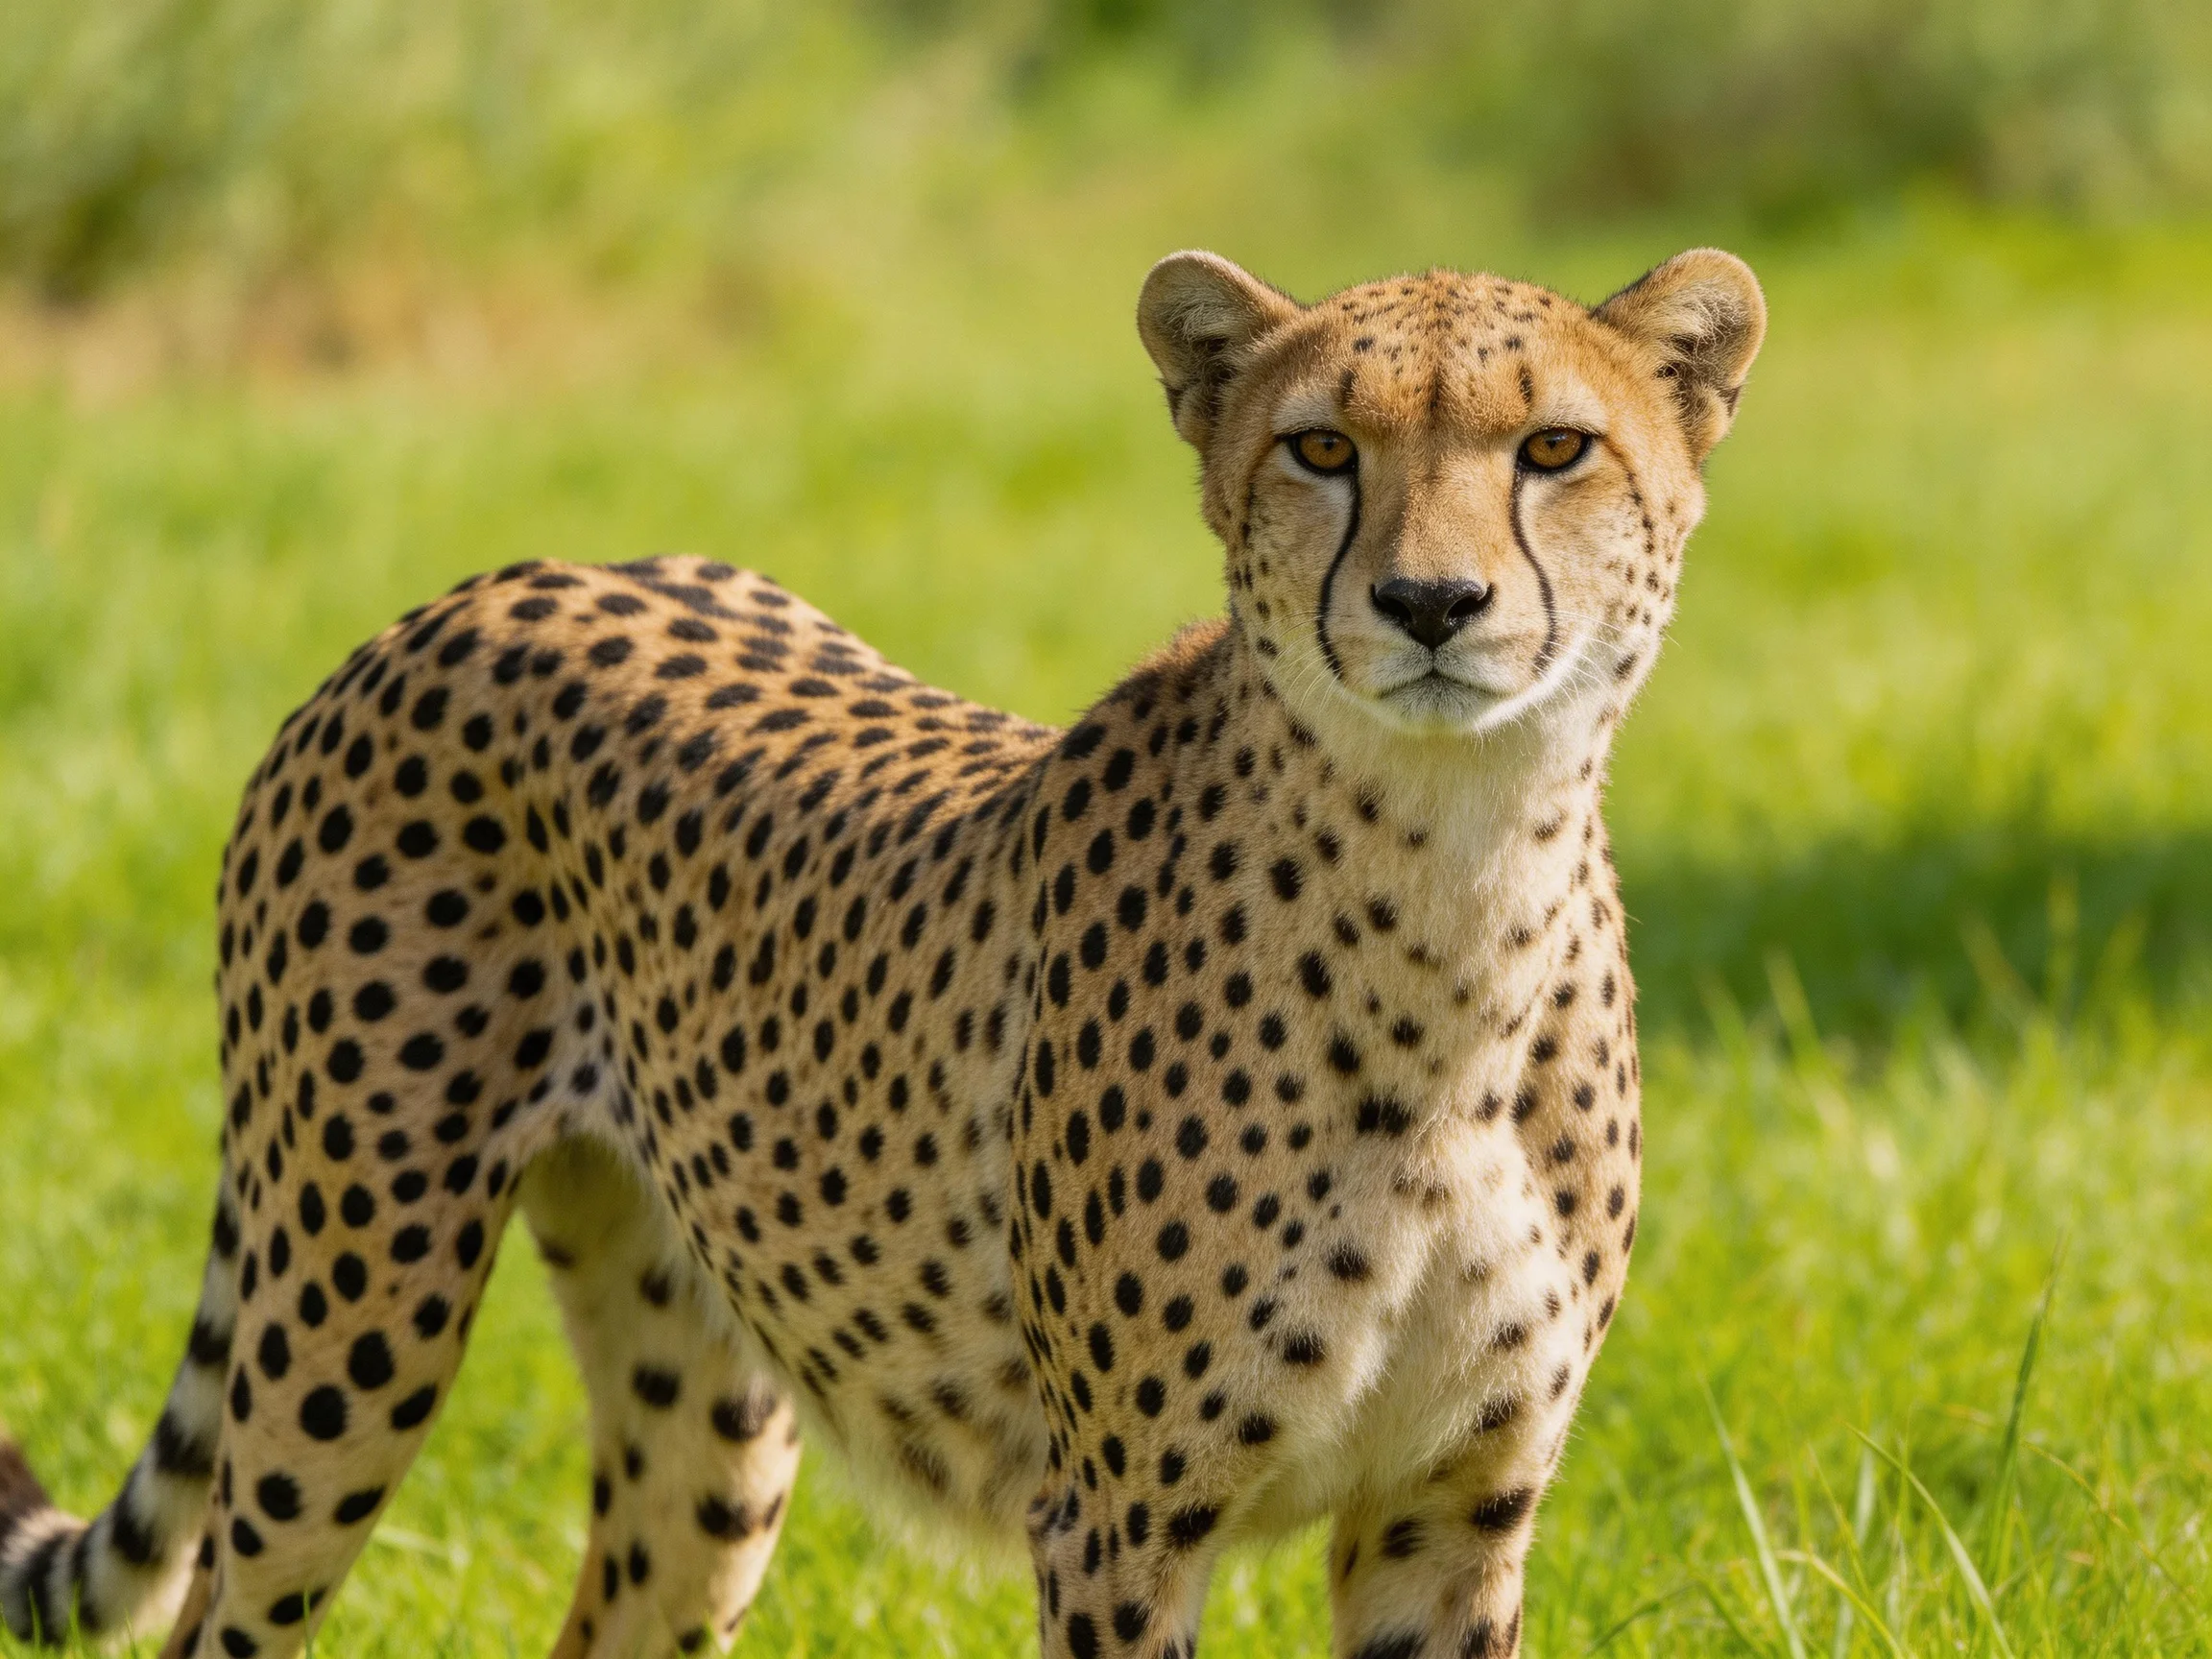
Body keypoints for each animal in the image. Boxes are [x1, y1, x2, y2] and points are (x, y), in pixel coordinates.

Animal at [0, 243, 1763, 1659]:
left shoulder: (1447, 1510)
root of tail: (491, 586)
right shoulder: (1120, 1516)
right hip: (352, 1294)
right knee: (223, 1612)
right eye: (1322, 447)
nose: (1428, 601)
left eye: (1554, 448)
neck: (1458, 887)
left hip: (696, 1385)